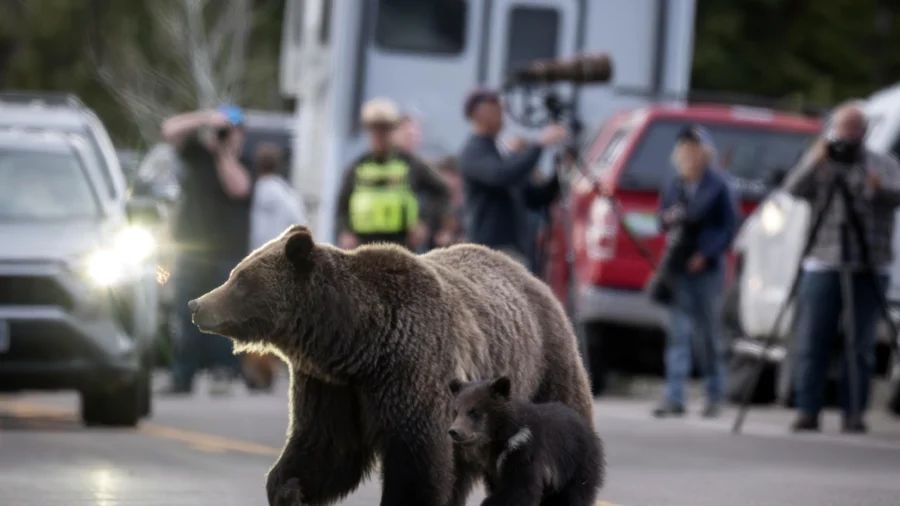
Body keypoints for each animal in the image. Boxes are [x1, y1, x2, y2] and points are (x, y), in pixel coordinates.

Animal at [444, 376, 600, 506]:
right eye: (456, 411)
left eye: (474, 411)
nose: (454, 431)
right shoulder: (492, 468)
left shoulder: (524, 451)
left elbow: (518, 490)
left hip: (574, 467)